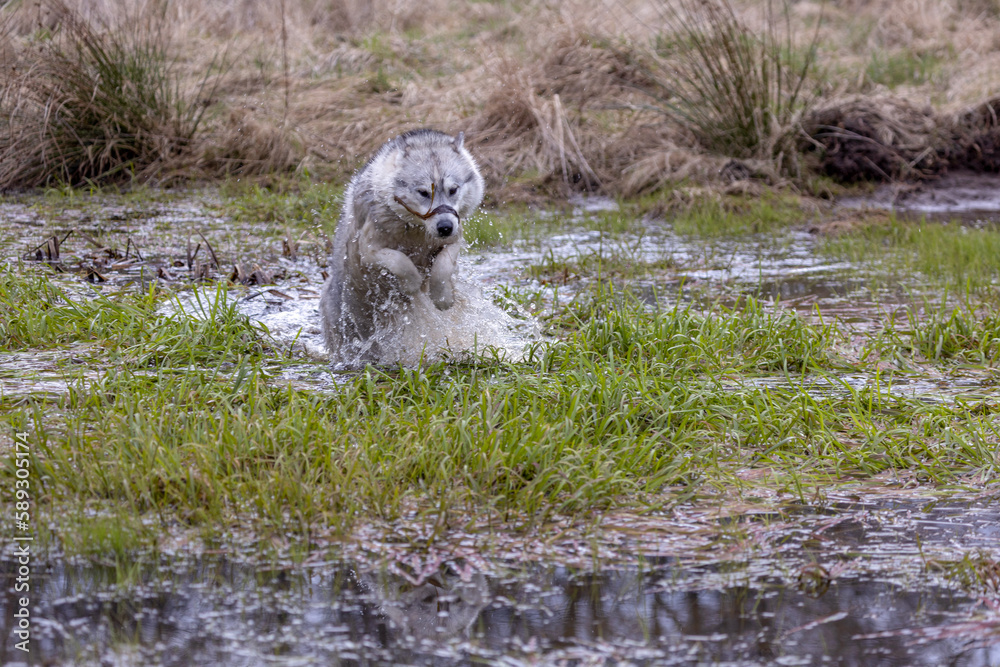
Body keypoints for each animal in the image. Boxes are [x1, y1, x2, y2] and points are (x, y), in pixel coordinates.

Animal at [320, 129, 486, 365]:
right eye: (423, 192)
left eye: (453, 190)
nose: (445, 227)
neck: (416, 229)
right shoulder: (368, 251)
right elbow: (400, 262)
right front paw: (412, 284)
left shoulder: (454, 241)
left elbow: (442, 268)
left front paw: (442, 297)